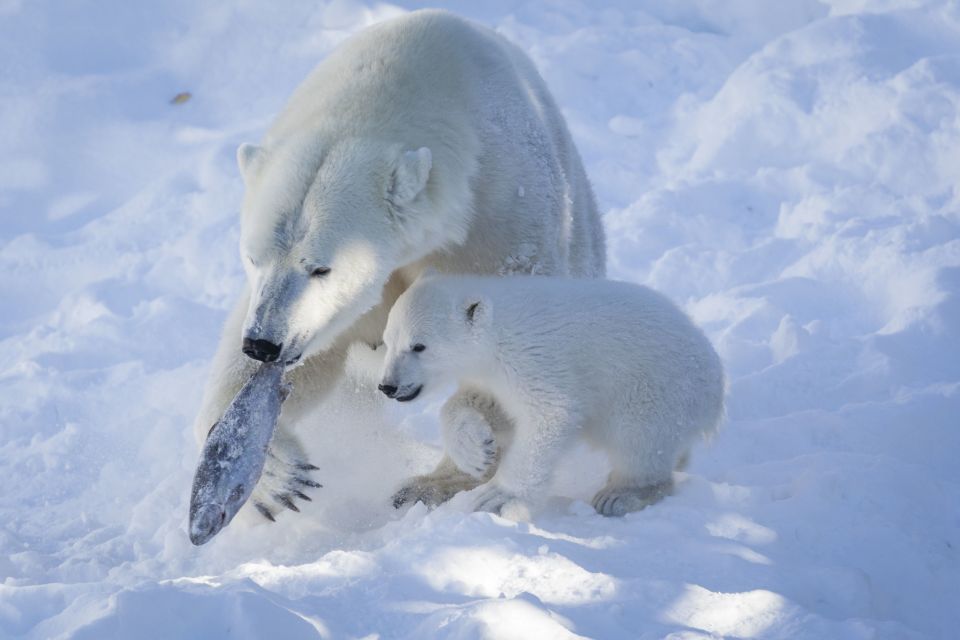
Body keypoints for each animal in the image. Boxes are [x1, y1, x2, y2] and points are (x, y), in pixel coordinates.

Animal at [191, 10, 604, 520]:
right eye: (253, 257)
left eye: (321, 268)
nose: (264, 344)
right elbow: (311, 356)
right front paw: (274, 475)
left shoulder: (500, 212)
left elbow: (505, 334)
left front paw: (469, 444)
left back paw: (431, 484)